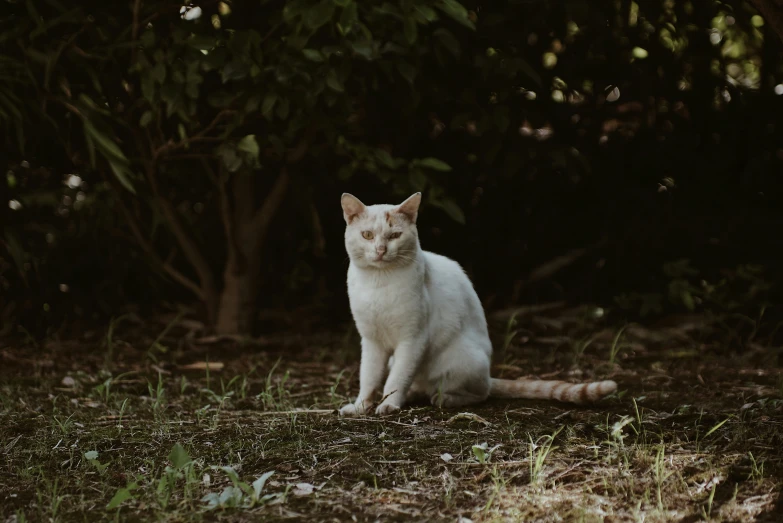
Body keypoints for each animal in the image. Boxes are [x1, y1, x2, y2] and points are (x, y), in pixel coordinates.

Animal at [340, 192, 616, 418]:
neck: (378, 283)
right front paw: (361, 406)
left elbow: (397, 379)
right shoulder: (371, 341)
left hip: (461, 359)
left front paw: (389, 404)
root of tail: (489, 375)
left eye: (395, 235)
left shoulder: (413, 339)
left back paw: (443, 398)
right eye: (367, 235)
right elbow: (368, 378)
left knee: (478, 393)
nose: (380, 250)